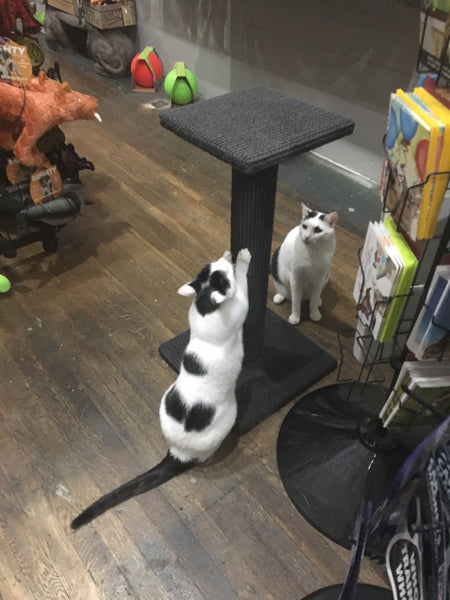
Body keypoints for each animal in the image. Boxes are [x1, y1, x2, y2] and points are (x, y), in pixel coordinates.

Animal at [72, 248, 251, 528]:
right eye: (223, 274)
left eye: (213, 266)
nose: (225, 257)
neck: (204, 308)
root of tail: (178, 452)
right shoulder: (240, 307)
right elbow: (244, 285)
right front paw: (243, 257)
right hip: (227, 417)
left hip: (166, 399)